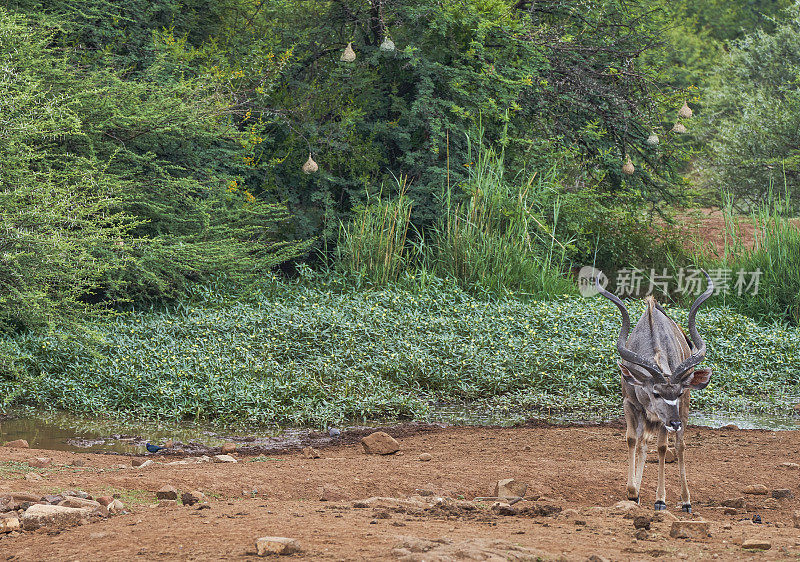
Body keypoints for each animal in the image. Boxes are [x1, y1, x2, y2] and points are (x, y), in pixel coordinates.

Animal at [596, 272, 716, 512]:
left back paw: (686, 501)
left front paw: (660, 500)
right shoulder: (630, 404)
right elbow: (632, 439)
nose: (675, 423)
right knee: (644, 442)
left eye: (677, 392)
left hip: (683, 411)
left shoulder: (666, 416)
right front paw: (633, 492)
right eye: (656, 393)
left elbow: (662, 447)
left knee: (678, 446)